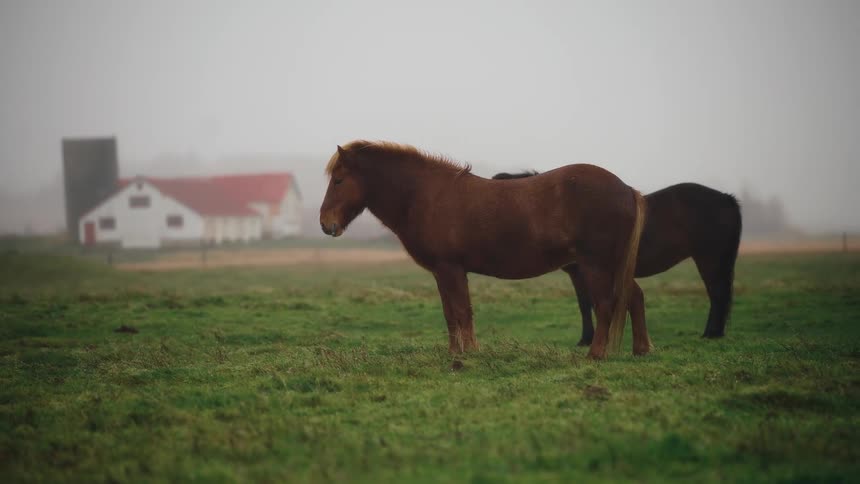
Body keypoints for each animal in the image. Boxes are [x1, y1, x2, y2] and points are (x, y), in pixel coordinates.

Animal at [320, 141, 648, 359]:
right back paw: (640, 349)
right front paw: (455, 353)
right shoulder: (442, 272)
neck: (426, 195)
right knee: (634, 297)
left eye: (339, 180)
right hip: (613, 265)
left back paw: (596, 354)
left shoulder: (451, 268)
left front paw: (470, 353)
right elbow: (450, 313)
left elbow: (463, 311)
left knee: (606, 304)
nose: (326, 224)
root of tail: (626, 189)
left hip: (597, 265)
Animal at [494, 171, 742, 345]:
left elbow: (587, 303)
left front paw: (588, 339)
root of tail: (725, 198)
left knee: (717, 293)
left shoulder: (583, 271)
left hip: (709, 258)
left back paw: (711, 334)